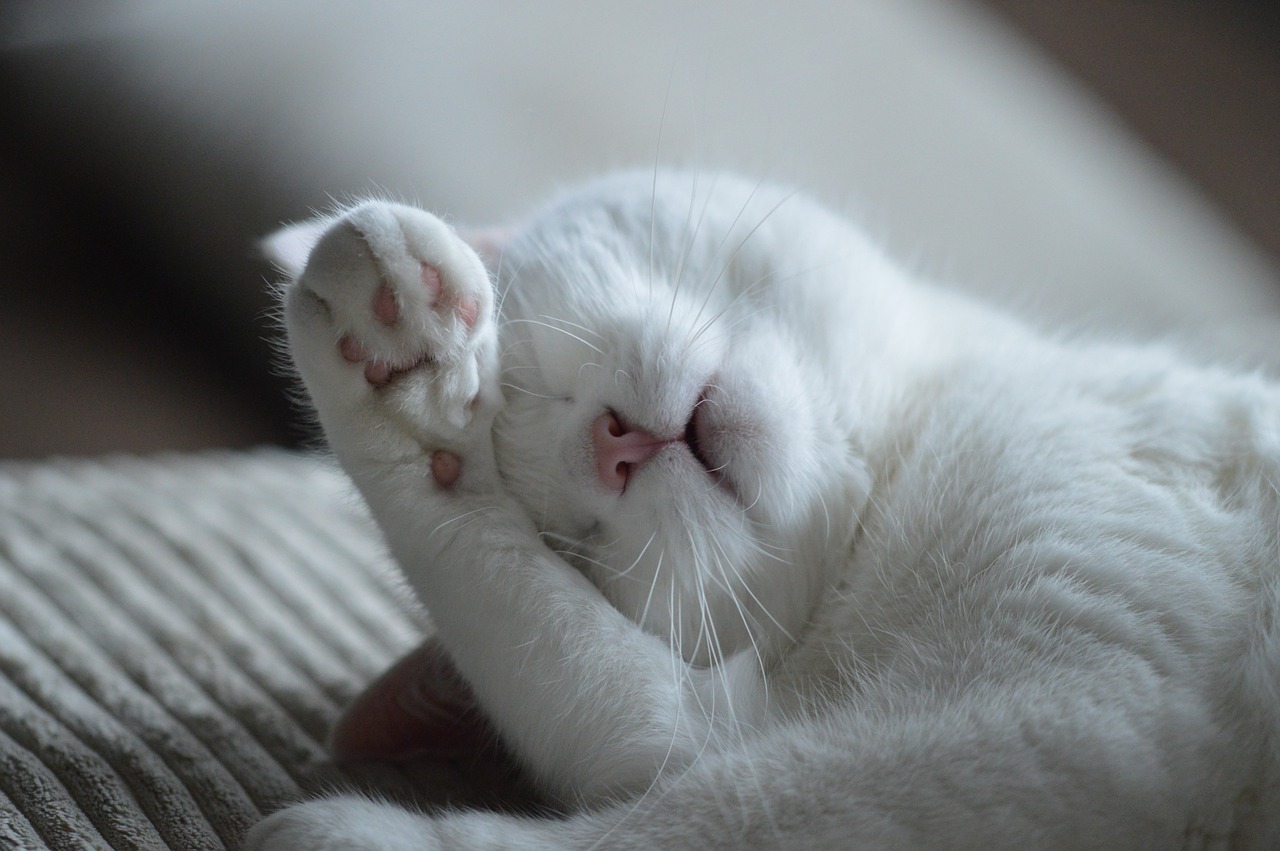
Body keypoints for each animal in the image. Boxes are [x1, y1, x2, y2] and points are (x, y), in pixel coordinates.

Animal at [244, 168, 1274, 844]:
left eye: (542, 370)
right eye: (573, 540)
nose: (609, 445)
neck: (897, 477)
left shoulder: (1077, 716)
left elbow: (724, 810)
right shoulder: (1072, 714)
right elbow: (664, 753)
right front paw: (401, 394)